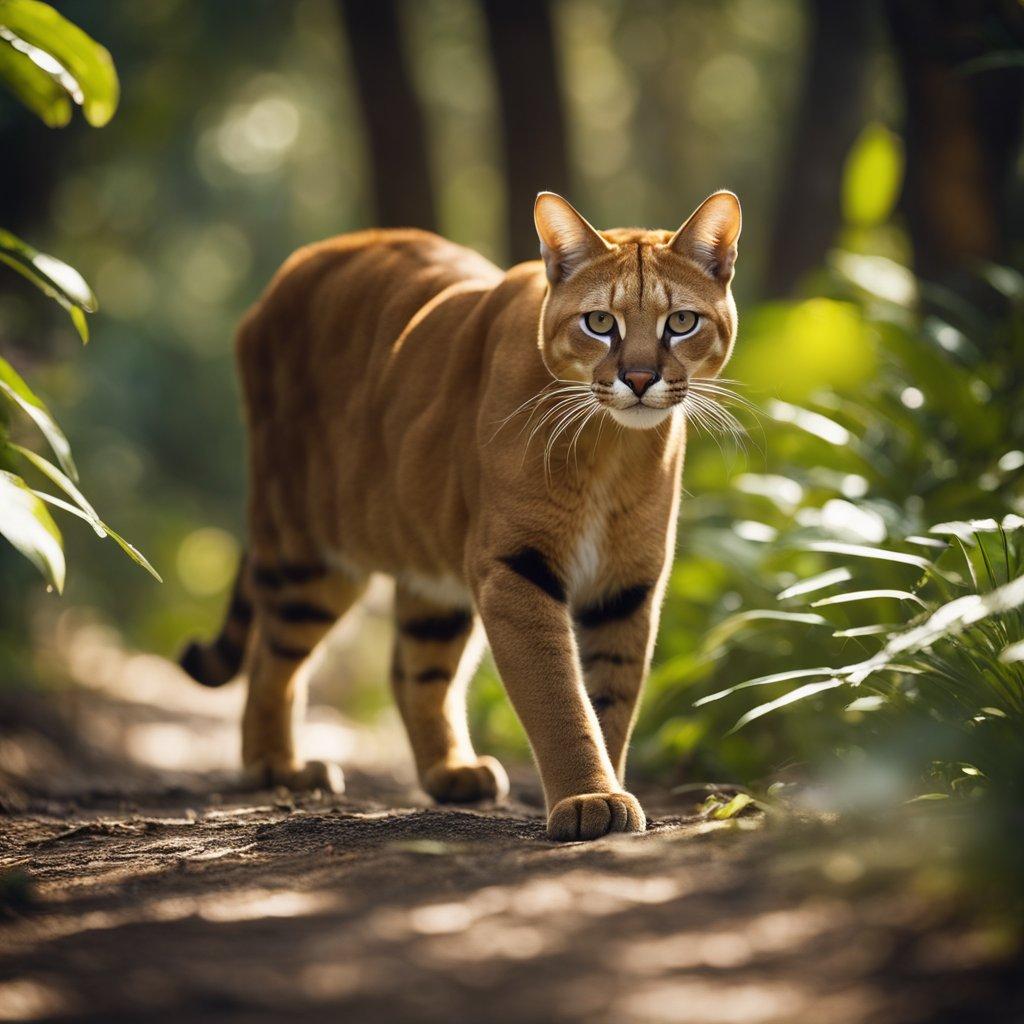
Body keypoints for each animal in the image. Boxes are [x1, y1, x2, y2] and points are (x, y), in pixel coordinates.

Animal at [180, 192, 741, 839]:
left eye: (682, 322)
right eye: (600, 323)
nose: (641, 378)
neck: (612, 447)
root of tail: (294, 267)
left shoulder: (627, 584)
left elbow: (612, 699)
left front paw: (609, 789)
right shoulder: (517, 566)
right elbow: (559, 695)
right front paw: (588, 798)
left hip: (429, 567)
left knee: (412, 667)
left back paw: (449, 771)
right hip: (307, 553)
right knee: (273, 657)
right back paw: (275, 766)